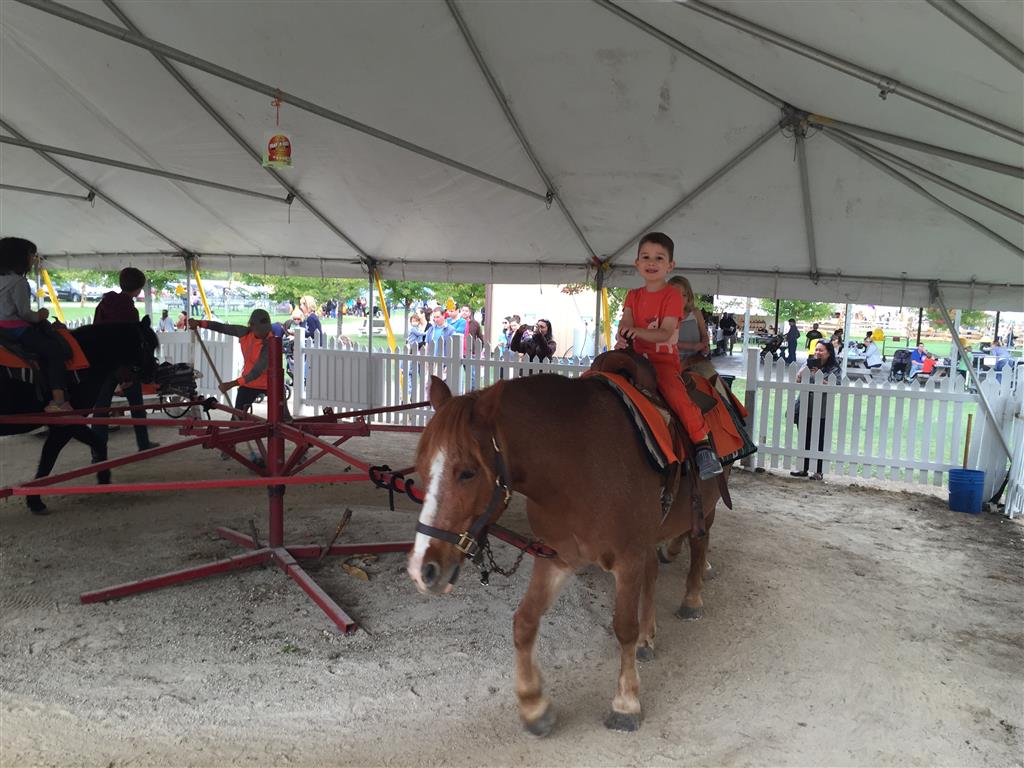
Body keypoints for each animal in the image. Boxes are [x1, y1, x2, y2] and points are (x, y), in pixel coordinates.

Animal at [0, 319, 160, 514]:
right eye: (148, 345)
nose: (153, 373)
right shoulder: (67, 425)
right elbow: (50, 459)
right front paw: (35, 501)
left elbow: (90, 445)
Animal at [408, 368, 727, 735]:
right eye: (421, 467)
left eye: (467, 472)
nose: (422, 569)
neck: (580, 464)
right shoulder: (558, 558)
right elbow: (525, 621)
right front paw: (534, 705)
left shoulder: (628, 558)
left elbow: (623, 628)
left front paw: (626, 702)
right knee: (654, 572)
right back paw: (648, 637)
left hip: (705, 511)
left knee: (698, 545)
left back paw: (692, 598)